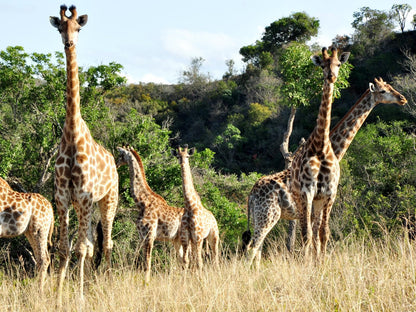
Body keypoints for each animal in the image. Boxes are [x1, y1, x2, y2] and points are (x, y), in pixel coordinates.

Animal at [115, 146, 184, 282]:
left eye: (120, 155)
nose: (116, 163)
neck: (142, 202)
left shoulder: (149, 235)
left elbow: (147, 264)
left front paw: (146, 283)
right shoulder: (142, 236)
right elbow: (144, 264)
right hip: (177, 240)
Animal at [244, 77, 406, 266]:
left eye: (390, 87)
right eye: (383, 91)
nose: (402, 98)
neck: (334, 151)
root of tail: (251, 194)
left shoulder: (317, 205)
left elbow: (316, 236)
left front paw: (317, 263)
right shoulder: (319, 202)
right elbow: (316, 236)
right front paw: (317, 264)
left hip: (261, 216)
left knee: (258, 249)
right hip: (268, 214)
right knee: (252, 247)